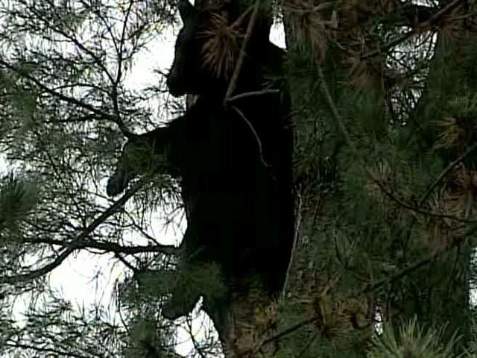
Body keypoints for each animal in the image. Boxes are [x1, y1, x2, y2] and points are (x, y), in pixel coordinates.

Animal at [107, 0, 292, 330]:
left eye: (183, 46)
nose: (171, 80)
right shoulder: (215, 111)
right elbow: (171, 143)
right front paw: (117, 178)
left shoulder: (241, 116)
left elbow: (188, 147)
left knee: (206, 234)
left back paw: (179, 296)